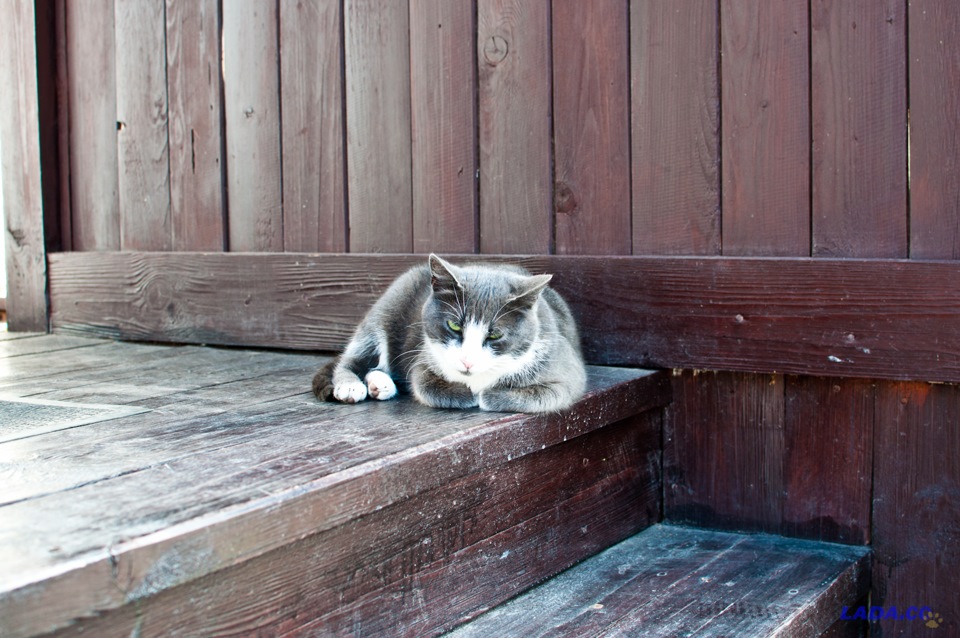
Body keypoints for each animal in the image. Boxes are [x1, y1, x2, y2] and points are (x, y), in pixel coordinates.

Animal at [314, 255, 584, 416]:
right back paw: (352, 385)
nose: (467, 361)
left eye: (495, 335)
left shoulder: (567, 369)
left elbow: (549, 394)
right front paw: (470, 394)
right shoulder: (423, 358)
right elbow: (423, 384)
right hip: (390, 304)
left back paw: (379, 384)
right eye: (454, 325)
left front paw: (484, 394)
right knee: (356, 355)